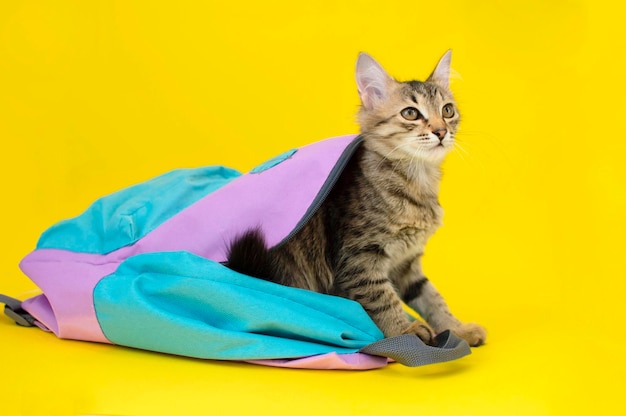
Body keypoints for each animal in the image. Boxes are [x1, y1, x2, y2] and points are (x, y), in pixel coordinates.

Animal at [227, 50, 486, 346]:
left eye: (447, 110)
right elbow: (383, 298)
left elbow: (433, 299)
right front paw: (405, 332)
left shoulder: (407, 262)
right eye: (411, 113)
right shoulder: (359, 258)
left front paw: (458, 329)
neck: (417, 181)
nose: (441, 131)